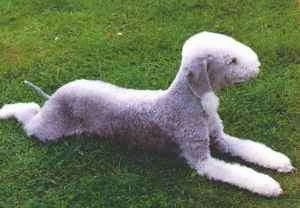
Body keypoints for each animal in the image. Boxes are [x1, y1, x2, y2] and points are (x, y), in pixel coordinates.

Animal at [0, 31, 294, 197]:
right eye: (232, 60)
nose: (258, 66)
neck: (190, 99)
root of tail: (55, 95)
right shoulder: (201, 159)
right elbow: (237, 172)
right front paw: (268, 185)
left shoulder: (219, 138)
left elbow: (249, 147)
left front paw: (278, 161)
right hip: (47, 130)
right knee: (27, 115)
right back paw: (6, 110)